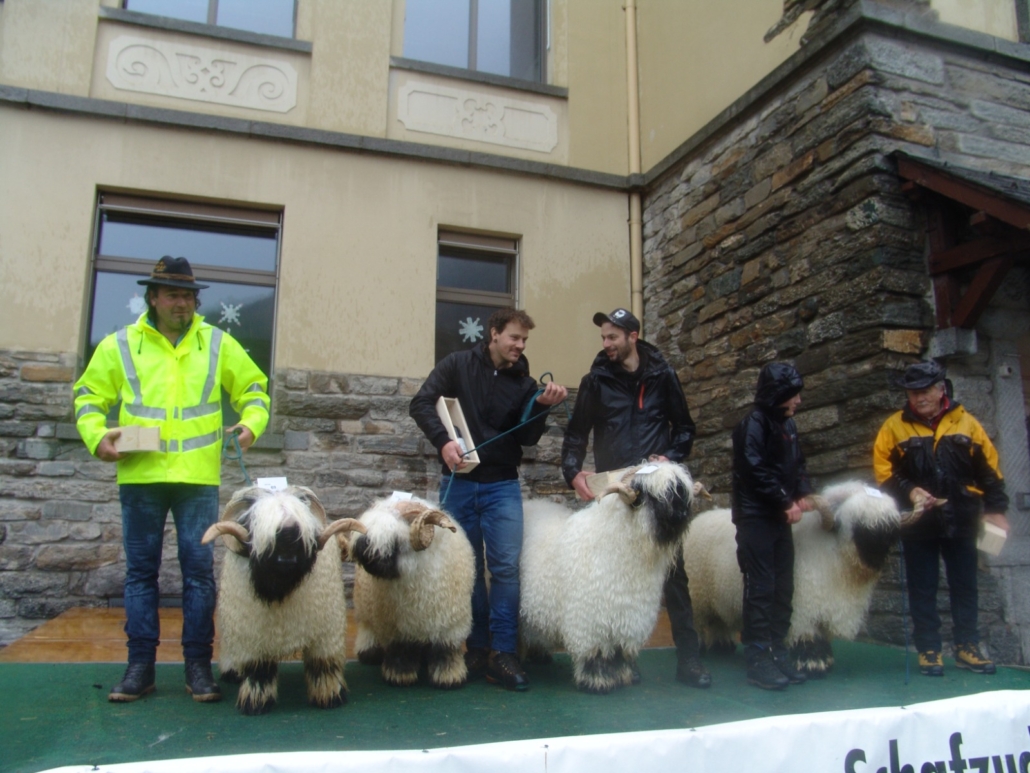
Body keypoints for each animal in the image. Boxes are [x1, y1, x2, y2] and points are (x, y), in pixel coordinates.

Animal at [200, 485, 366, 715]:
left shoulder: (325, 631)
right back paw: (231, 671)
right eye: (252, 521)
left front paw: (329, 696)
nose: (287, 554)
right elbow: (258, 669)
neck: (281, 590)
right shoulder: (252, 635)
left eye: (301, 521)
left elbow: (322, 664)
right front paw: (255, 702)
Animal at [348, 495, 476, 689]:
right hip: (364, 605)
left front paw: (449, 677)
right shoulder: (395, 627)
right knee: (366, 625)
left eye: (396, 539)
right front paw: (399, 676)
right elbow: (401, 651)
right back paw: (369, 652)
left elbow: (445, 650)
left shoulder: (449, 623)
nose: (362, 548)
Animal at [518, 461, 697, 694]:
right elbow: (595, 653)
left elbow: (619, 653)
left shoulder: (626, 615)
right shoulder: (591, 618)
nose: (682, 513)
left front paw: (622, 676)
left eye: (681, 492)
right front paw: (596, 681)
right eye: (652, 495)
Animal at [683, 481, 921, 676]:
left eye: (889, 528)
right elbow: (805, 634)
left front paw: (825, 659)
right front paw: (811, 663)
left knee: (718, 621)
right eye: (858, 524)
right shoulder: (802, 606)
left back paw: (723, 646)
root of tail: (700, 519)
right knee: (697, 622)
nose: (878, 552)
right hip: (697, 595)